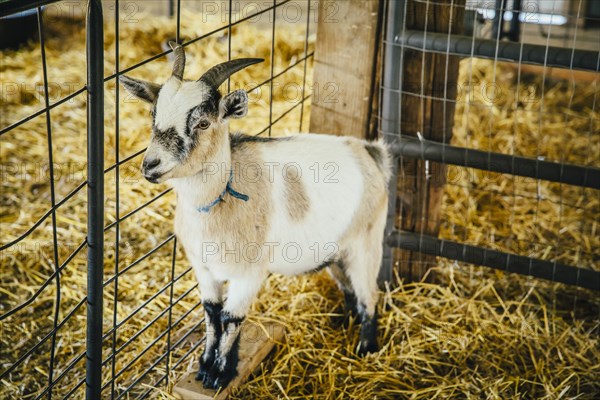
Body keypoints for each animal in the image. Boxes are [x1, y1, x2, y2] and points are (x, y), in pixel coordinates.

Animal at [120, 42, 394, 390]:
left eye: (203, 123)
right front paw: (205, 366)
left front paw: (220, 374)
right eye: (153, 114)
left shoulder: (249, 273)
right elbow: (211, 313)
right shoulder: (203, 268)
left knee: (369, 294)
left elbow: (231, 318)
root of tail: (371, 152)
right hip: (337, 250)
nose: (151, 165)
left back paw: (366, 348)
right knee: (350, 289)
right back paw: (346, 323)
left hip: (366, 242)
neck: (219, 200)